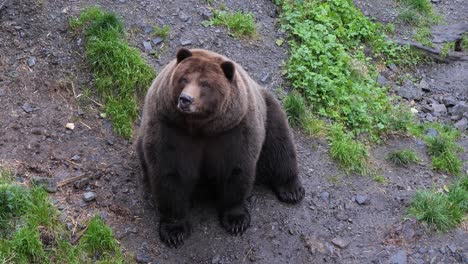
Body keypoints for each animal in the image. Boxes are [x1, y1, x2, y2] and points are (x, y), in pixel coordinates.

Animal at [136, 48, 304, 248]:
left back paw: (291, 190)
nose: (185, 99)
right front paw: (174, 231)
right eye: (183, 78)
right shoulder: (169, 128)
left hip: (268, 112)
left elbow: (236, 170)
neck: (200, 127)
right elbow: (170, 174)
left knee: (279, 145)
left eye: (205, 84)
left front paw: (236, 220)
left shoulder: (235, 131)